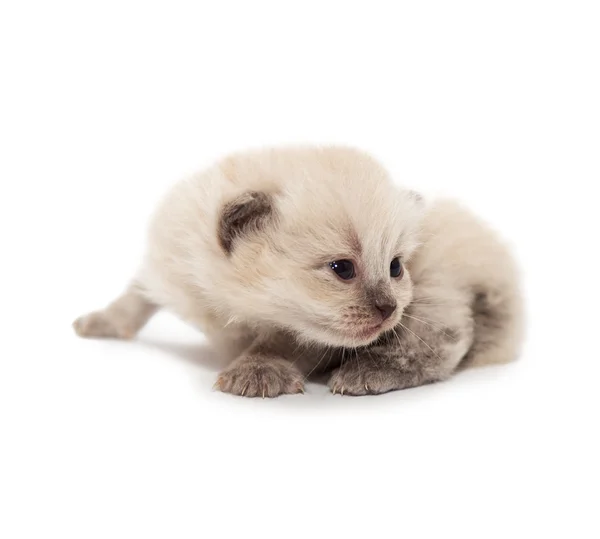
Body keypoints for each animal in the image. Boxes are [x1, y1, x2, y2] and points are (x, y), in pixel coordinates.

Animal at [74, 146, 520, 398]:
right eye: (342, 269)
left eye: (395, 266)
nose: (389, 309)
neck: (232, 303)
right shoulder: (170, 264)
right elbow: (134, 296)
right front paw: (101, 322)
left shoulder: (316, 332)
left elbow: (280, 342)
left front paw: (257, 371)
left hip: (438, 290)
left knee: (438, 349)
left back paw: (368, 372)